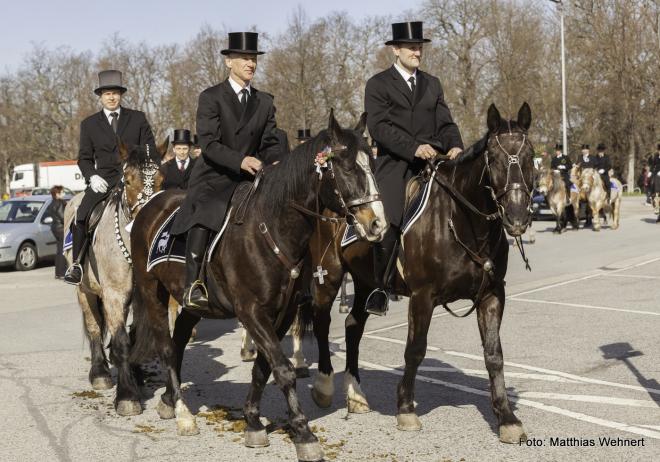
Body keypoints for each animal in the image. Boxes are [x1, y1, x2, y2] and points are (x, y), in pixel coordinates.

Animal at [63, 138, 168, 416]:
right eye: (128, 181)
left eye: (162, 180)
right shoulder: (114, 295)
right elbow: (120, 341)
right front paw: (127, 397)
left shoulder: (143, 296)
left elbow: (135, 337)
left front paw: (136, 375)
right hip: (84, 290)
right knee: (94, 327)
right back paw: (100, 372)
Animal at [127, 112, 386, 462]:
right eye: (346, 168)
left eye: (371, 164)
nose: (377, 224)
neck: (272, 230)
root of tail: (149, 206)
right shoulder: (250, 311)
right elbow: (283, 369)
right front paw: (303, 433)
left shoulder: (281, 314)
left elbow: (265, 367)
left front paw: (252, 421)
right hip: (151, 290)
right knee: (167, 346)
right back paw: (183, 414)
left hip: (192, 302)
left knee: (179, 337)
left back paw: (169, 400)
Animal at [304, 103, 536, 442]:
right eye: (493, 158)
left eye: (531, 155)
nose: (517, 217)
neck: (460, 222)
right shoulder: (422, 296)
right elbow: (415, 350)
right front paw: (406, 410)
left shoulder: (492, 294)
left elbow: (494, 354)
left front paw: (506, 418)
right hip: (330, 275)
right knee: (322, 323)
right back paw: (323, 388)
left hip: (365, 282)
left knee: (353, 327)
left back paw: (356, 395)